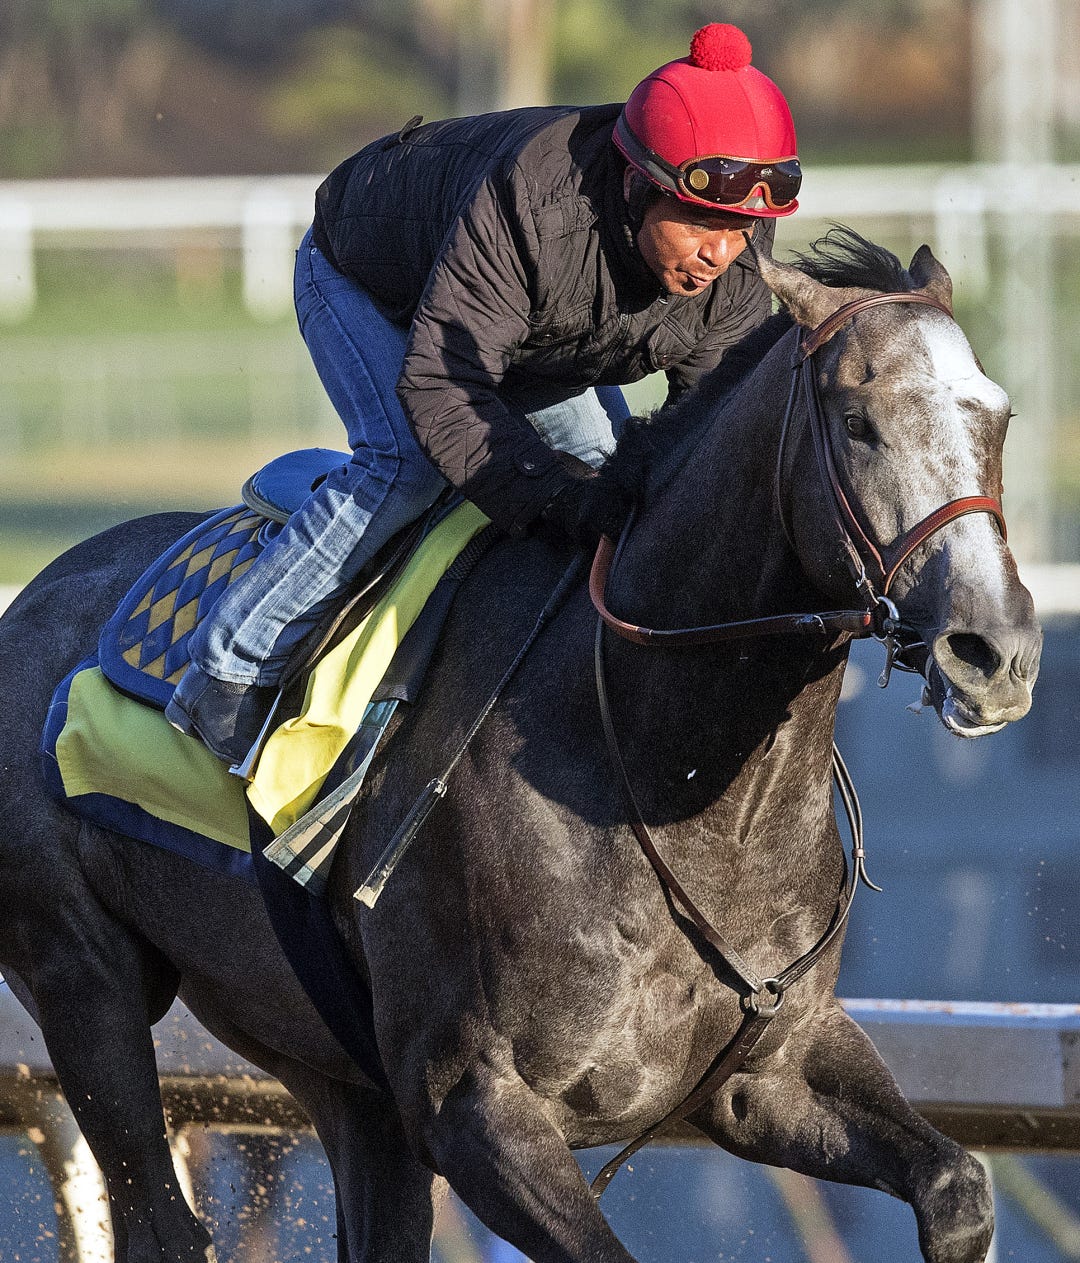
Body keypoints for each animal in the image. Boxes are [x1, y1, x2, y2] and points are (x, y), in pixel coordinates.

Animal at [0, 228, 1041, 1263]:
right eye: (858, 420)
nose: (993, 650)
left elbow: (957, 1186)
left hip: (334, 1075)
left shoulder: (771, 1070)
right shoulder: (476, 1106)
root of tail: (35, 593)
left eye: (1000, 416)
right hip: (84, 981)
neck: (664, 771)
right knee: (161, 1216)